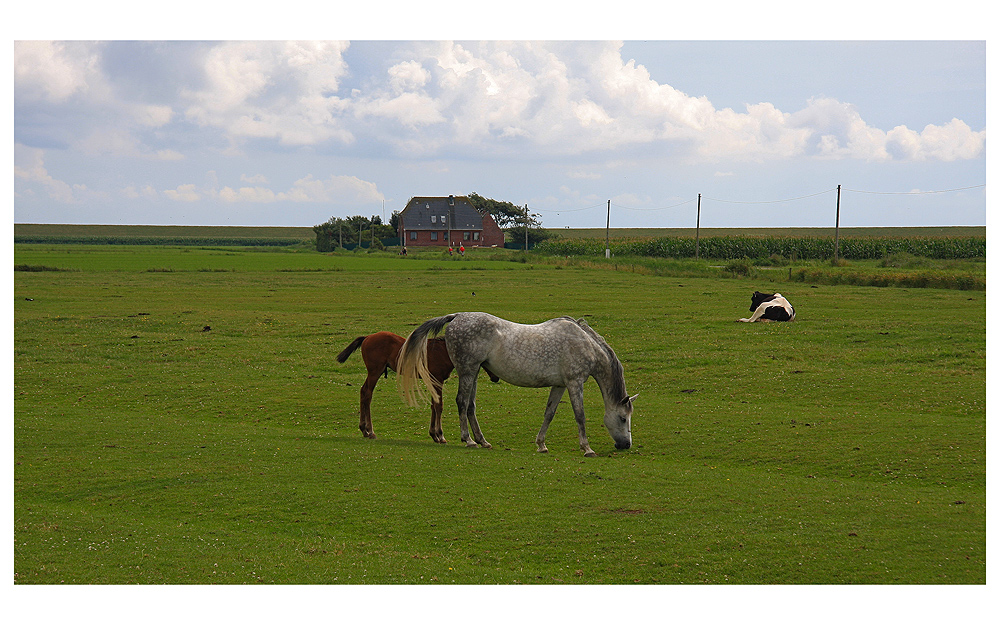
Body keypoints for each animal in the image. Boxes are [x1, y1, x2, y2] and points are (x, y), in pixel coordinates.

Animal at [336, 332, 496, 444]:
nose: (496, 377)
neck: (444, 351)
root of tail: (368, 337)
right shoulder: (438, 380)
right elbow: (439, 406)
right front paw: (440, 435)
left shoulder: (433, 381)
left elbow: (433, 405)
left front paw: (434, 434)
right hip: (375, 371)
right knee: (367, 394)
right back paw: (370, 431)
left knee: (363, 391)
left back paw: (363, 429)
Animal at [396, 314, 632, 456]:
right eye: (623, 418)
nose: (626, 445)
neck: (585, 344)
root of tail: (456, 317)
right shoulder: (575, 383)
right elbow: (580, 416)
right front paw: (587, 448)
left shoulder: (560, 385)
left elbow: (549, 413)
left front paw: (541, 444)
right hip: (467, 370)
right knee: (462, 402)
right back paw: (469, 440)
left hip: (474, 372)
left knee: (470, 406)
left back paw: (482, 441)